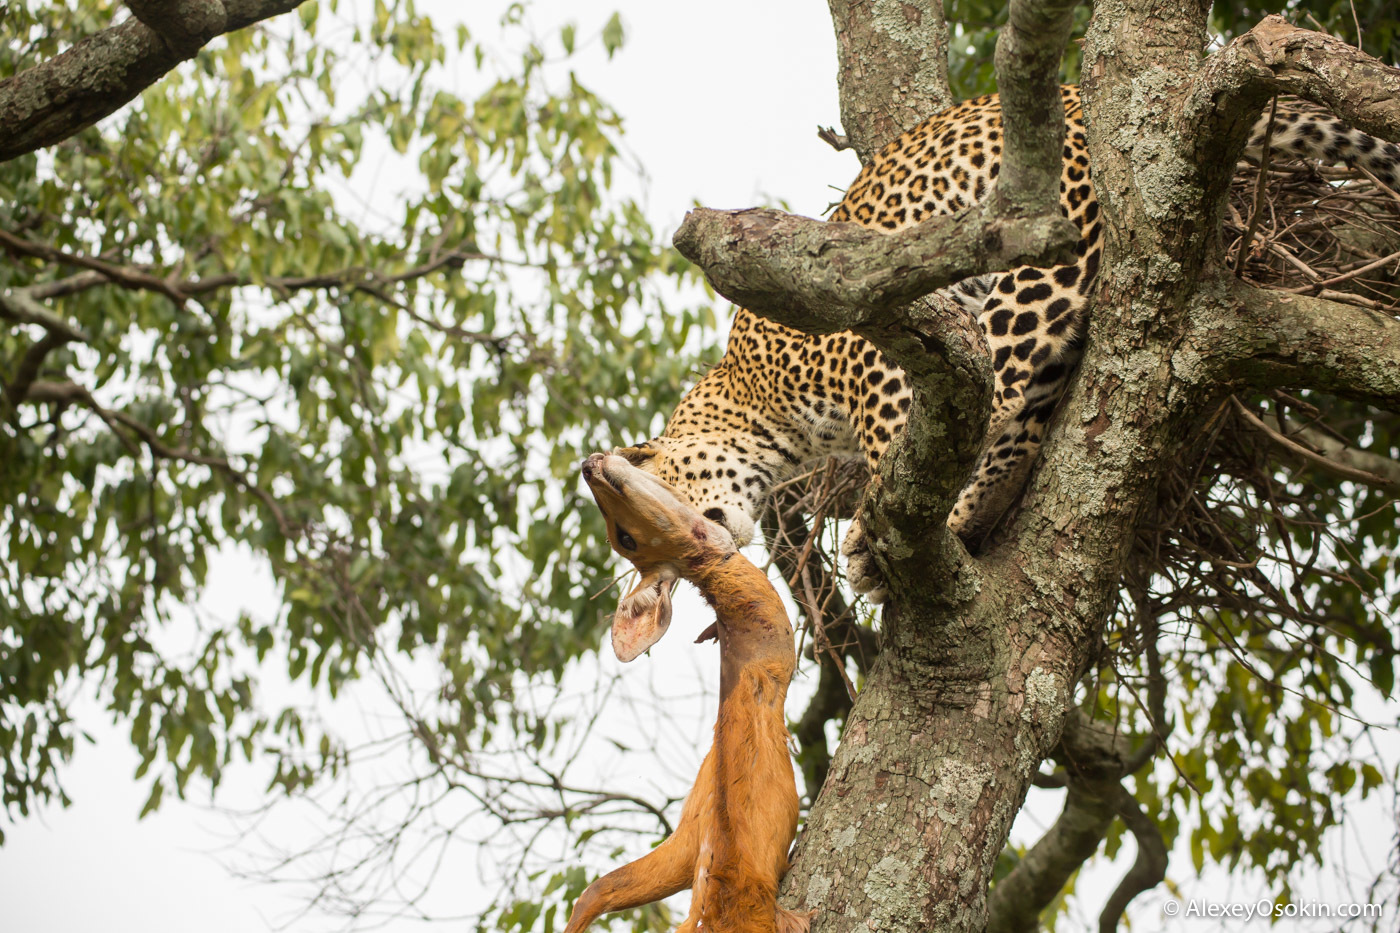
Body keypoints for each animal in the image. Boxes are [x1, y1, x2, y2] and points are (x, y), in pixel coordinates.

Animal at [613, 87, 1400, 602]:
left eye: (630, 533)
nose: (668, 576)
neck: (750, 404)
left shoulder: (871, 354)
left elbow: (900, 442)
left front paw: (874, 529)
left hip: (1038, 255)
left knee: (1004, 391)